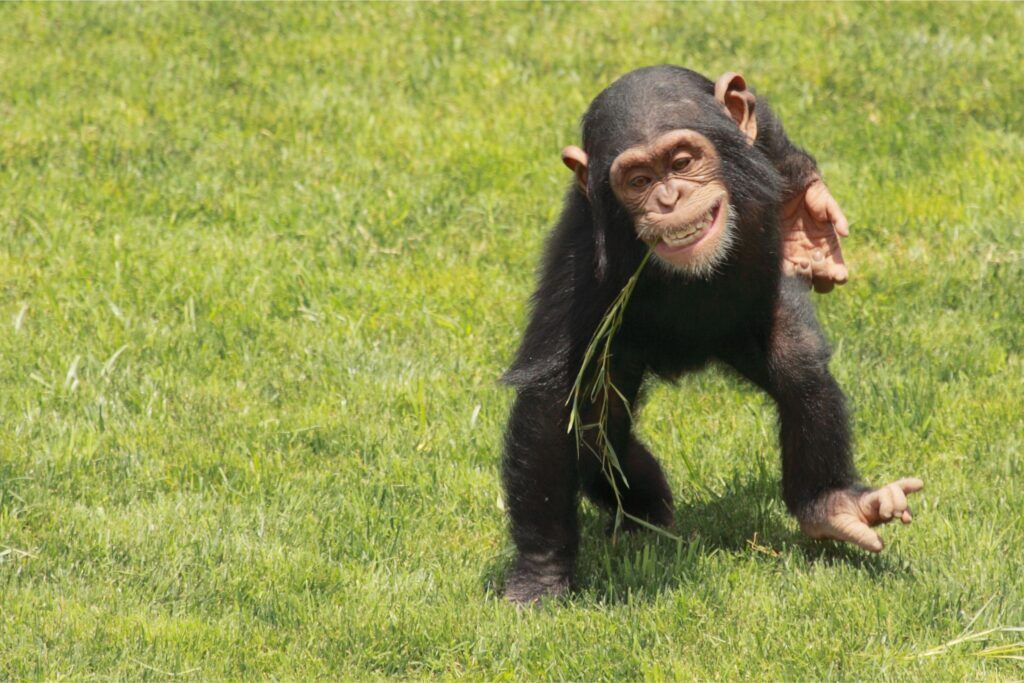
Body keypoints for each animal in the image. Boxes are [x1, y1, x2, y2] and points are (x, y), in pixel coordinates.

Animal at [499, 66, 925, 602]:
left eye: (682, 162)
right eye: (638, 181)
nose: (669, 198)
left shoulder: (751, 151)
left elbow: (758, 129)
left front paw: (805, 212)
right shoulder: (579, 266)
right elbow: (553, 398)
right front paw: (539, 574)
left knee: (798, 363)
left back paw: (831, 504)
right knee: (598, 429)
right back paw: (645, 514)